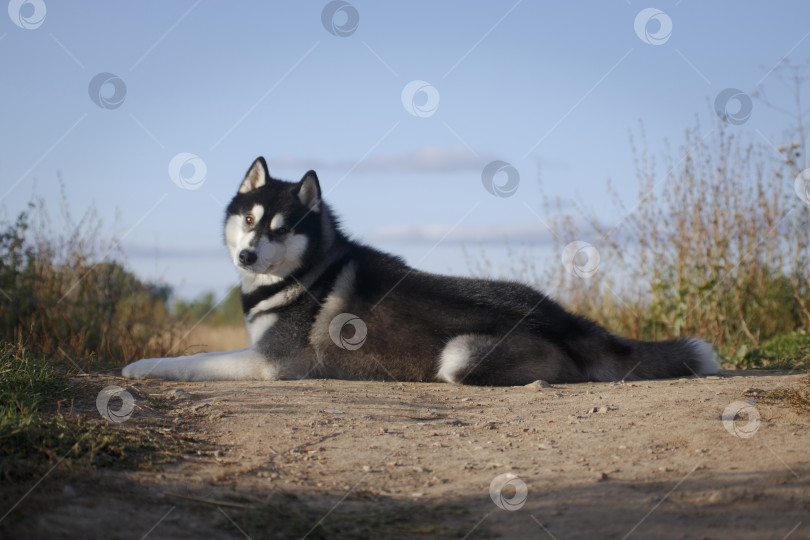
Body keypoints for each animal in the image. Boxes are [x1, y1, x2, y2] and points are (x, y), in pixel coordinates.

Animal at [120, 156, 712, 384]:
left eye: (283, 229)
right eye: (248, 219)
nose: (246, 256)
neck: (305, 273)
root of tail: (562, 319)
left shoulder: (269, 362)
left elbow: (190, 359)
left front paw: (141, 366)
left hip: (458, 357)